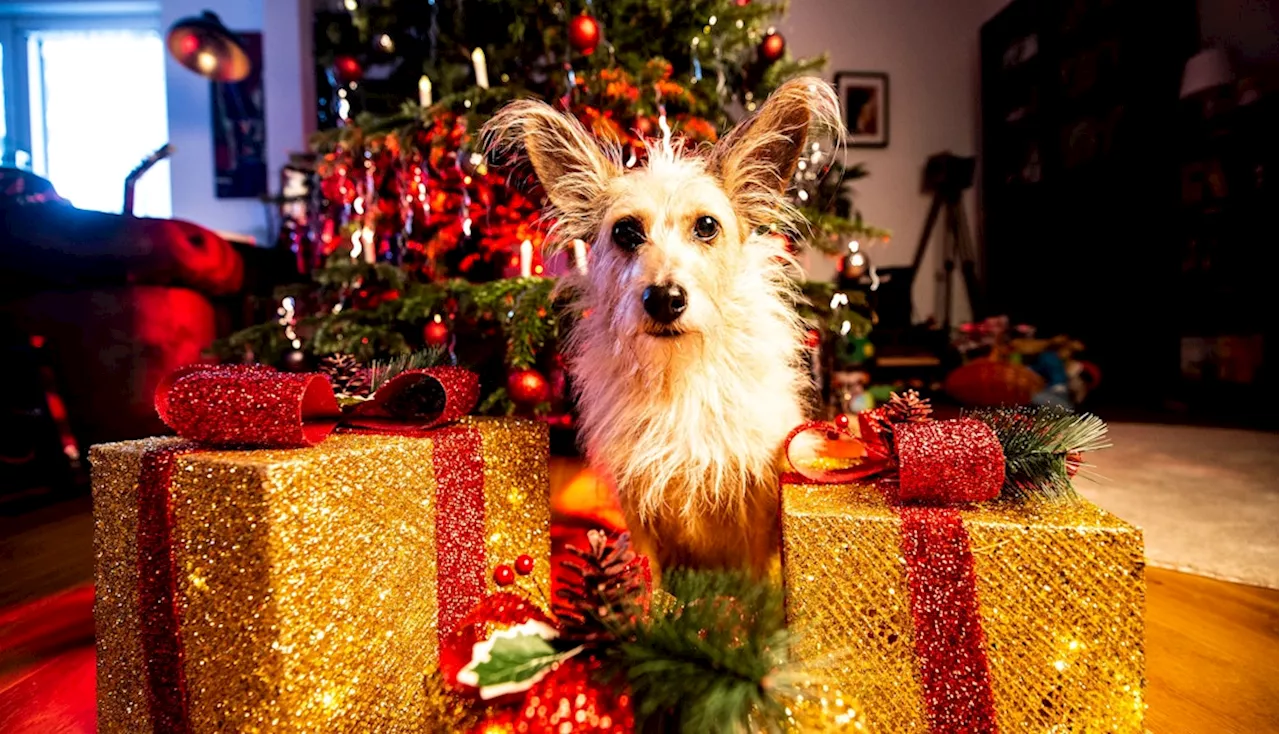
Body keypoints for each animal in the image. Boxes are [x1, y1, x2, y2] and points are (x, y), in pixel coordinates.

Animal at [483, 78, 844, 571]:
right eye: (626, 232)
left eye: (707, 226)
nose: (664, 299)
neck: (680, 374)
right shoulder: (638, 508)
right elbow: (650, 584)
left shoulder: (760, 508)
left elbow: (765, 586)